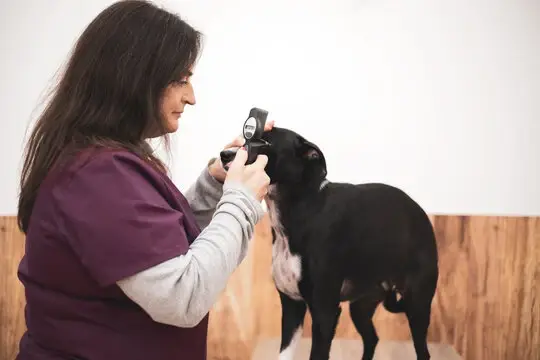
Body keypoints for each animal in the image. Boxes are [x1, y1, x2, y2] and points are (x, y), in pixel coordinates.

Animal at [219, 127, 438, 360]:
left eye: (265, 142)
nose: (224, 154)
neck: (302, 208)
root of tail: (421, 214)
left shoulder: (324, 312)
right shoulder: (292, 305)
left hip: (417, 305)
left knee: (422, 351)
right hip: (361, 306)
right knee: (372, 338)